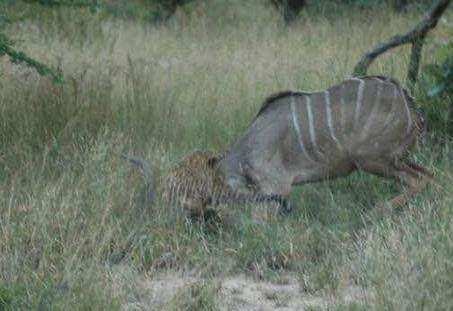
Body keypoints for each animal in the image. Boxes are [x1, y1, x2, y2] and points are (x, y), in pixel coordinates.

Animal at [217, 76, 432, 212]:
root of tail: (411, 106)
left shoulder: (276, 186)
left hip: (371, 159)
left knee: (417, 179)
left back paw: (379, 209)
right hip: (393, 159)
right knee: (429, 175)